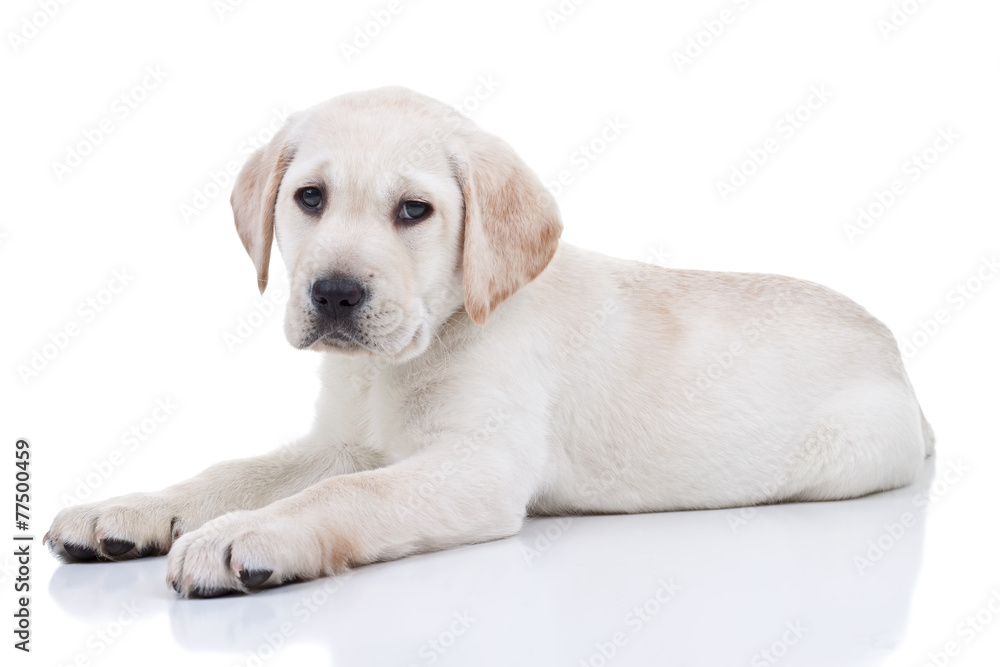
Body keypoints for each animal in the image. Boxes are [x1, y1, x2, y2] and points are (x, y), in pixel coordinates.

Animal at [43, 87, 932, 596]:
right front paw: (131, 509)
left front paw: (240, 535)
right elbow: (236, 471)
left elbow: (342, 495)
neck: (406, 357)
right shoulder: (345, 440)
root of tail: (898, 354)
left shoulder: (478, 464)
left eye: (414, 211)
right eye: (310, 197)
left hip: (853, 452)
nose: (335, 294)